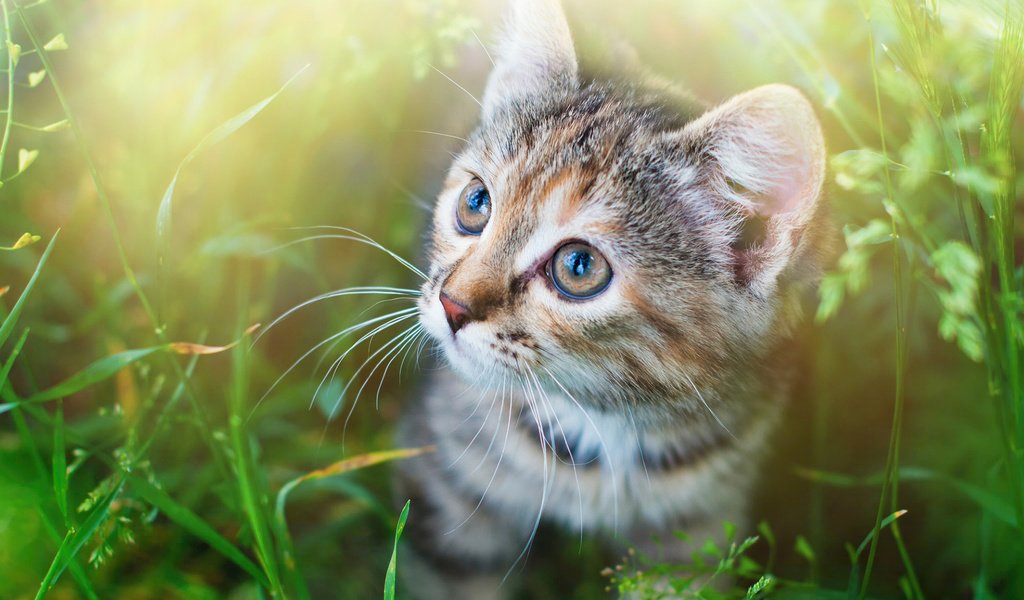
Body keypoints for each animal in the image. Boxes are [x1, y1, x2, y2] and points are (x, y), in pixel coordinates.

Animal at [395, 1, 827, 593]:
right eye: (475, 203)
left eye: (579, 266)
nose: (452, 305)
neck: (606, 427)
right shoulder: (451, 491)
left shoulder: (695, 534)